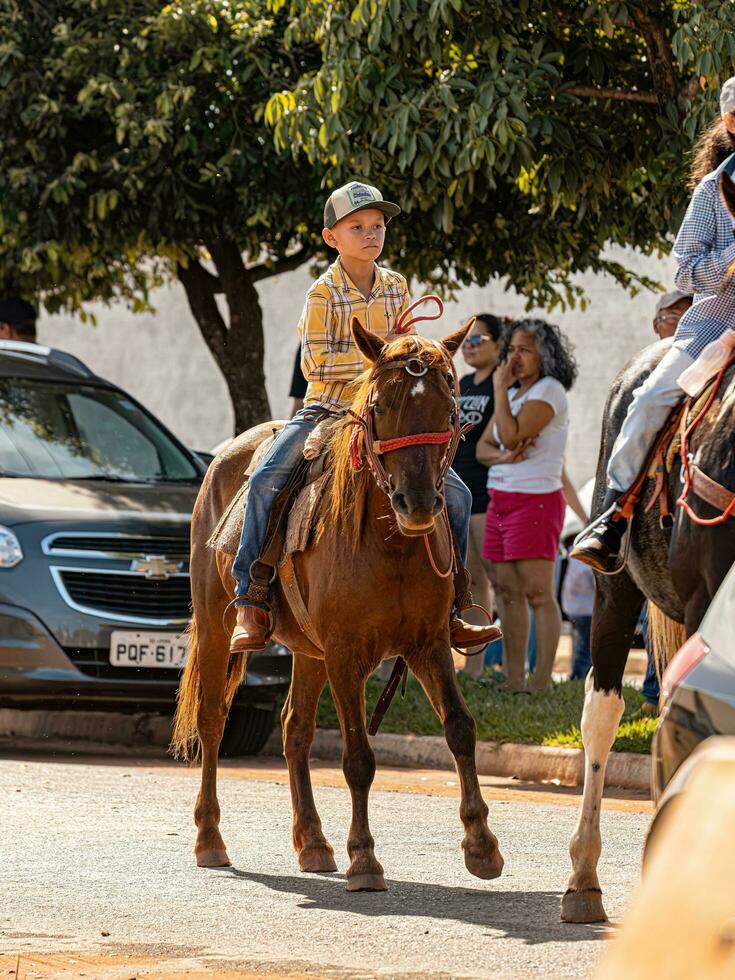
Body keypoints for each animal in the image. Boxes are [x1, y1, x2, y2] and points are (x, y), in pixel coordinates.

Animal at [173, 320, 506, 888]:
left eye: (449, 409)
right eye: (381, 406)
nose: (418, 504)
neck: (390, 544)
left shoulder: (428, 644)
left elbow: (460, 729)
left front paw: (482, 846)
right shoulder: (347, 654)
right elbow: (358, 759)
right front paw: (365, 859)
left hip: (310, 652)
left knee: (295, 730)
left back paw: (313, 843)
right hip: (221, 631)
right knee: (213, 717)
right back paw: (210, 838)